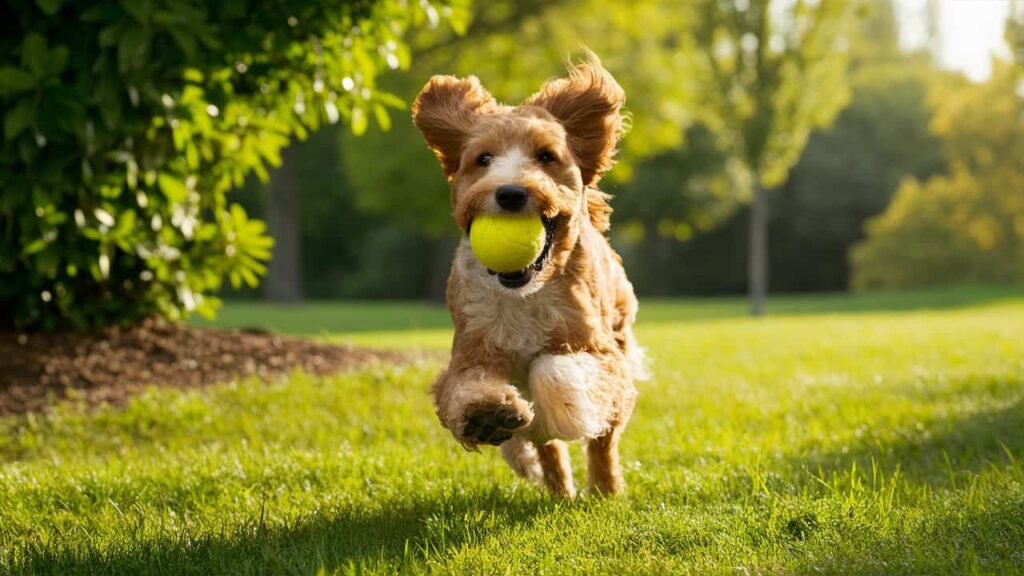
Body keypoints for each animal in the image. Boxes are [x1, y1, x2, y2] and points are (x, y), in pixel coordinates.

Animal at [409, 51, 643, 496]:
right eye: (483, 159)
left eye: (546, 156)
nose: (511, 192)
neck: (525, 294)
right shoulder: (471, 351)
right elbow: (466, 387)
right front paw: (489, 414)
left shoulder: (600, 353)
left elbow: (554, 371)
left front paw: (563, 407)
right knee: (545, 447)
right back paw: (554, 483)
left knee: (604, 437)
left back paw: (603, 487)